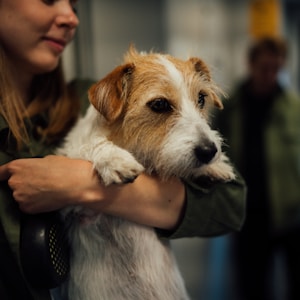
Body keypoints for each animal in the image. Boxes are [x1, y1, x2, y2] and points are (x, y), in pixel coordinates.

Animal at [57, 47, 236, 300]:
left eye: (201, 98)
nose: (209, 151)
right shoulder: (69, 209)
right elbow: (86, 146)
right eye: (159, 104)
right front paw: (115, 159)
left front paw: (215, 167)